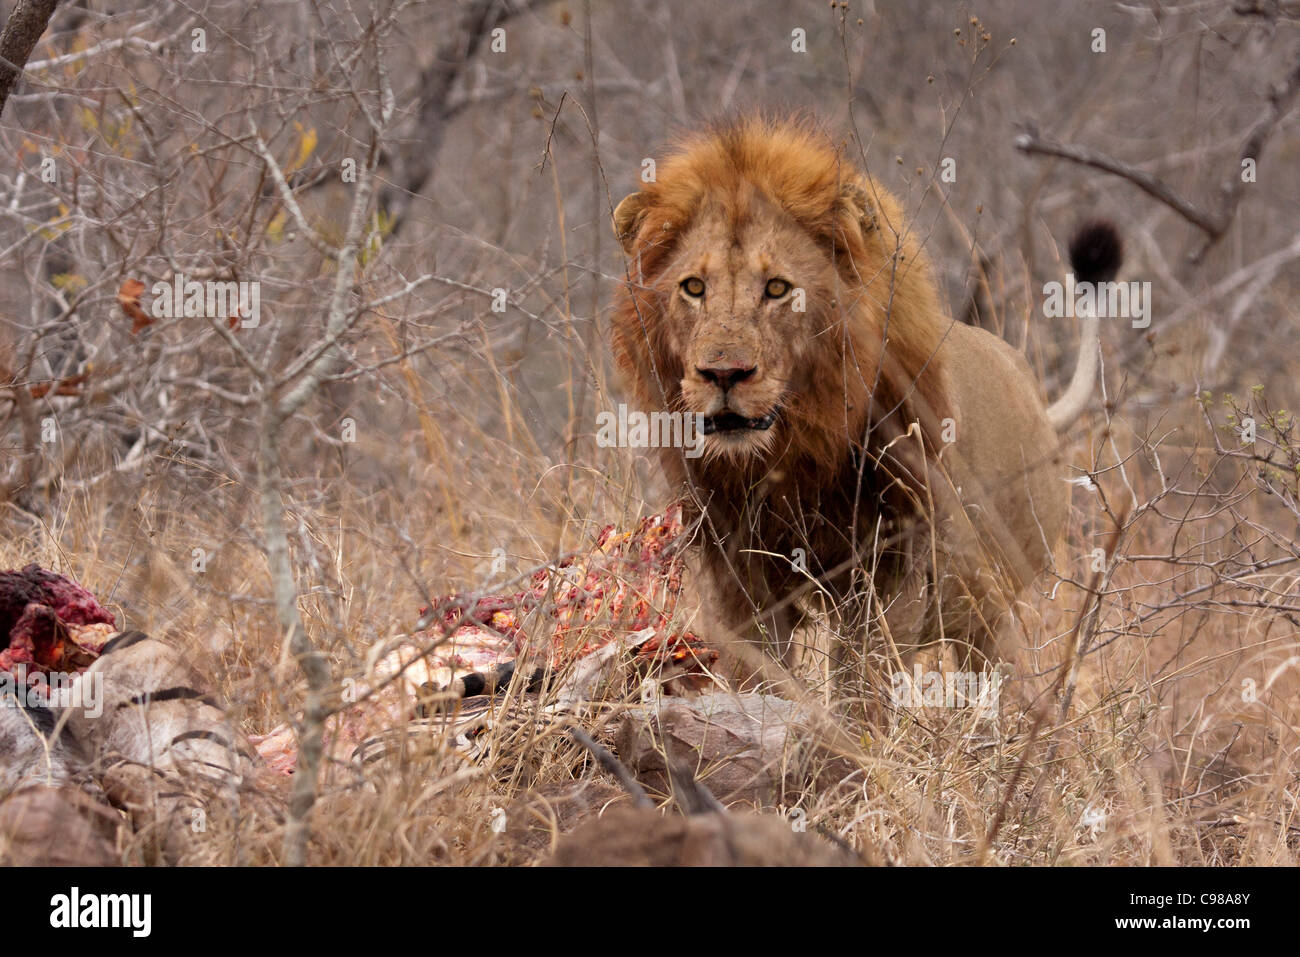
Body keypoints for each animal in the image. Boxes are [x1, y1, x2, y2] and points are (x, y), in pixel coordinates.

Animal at [608, 115, 1118, 676]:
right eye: (694, 287)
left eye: (778, 288)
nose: (723, 373)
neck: (797, 451)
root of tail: (1029, 387)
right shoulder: (738, 575)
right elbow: (761, 675)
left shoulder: (890, 573)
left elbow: (860, 680)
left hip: (992, 600)